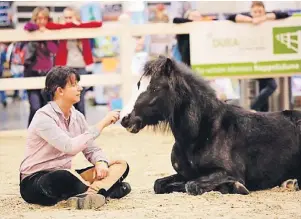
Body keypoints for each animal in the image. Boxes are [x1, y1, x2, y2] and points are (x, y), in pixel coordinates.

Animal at [120, 55, 300, 195]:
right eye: (138, 85)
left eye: (155, 88)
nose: (125, 118)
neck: (204, 131)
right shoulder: (184, 173)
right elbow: (159, 184)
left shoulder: (225, 172)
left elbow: (191, 186)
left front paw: (235, 186)